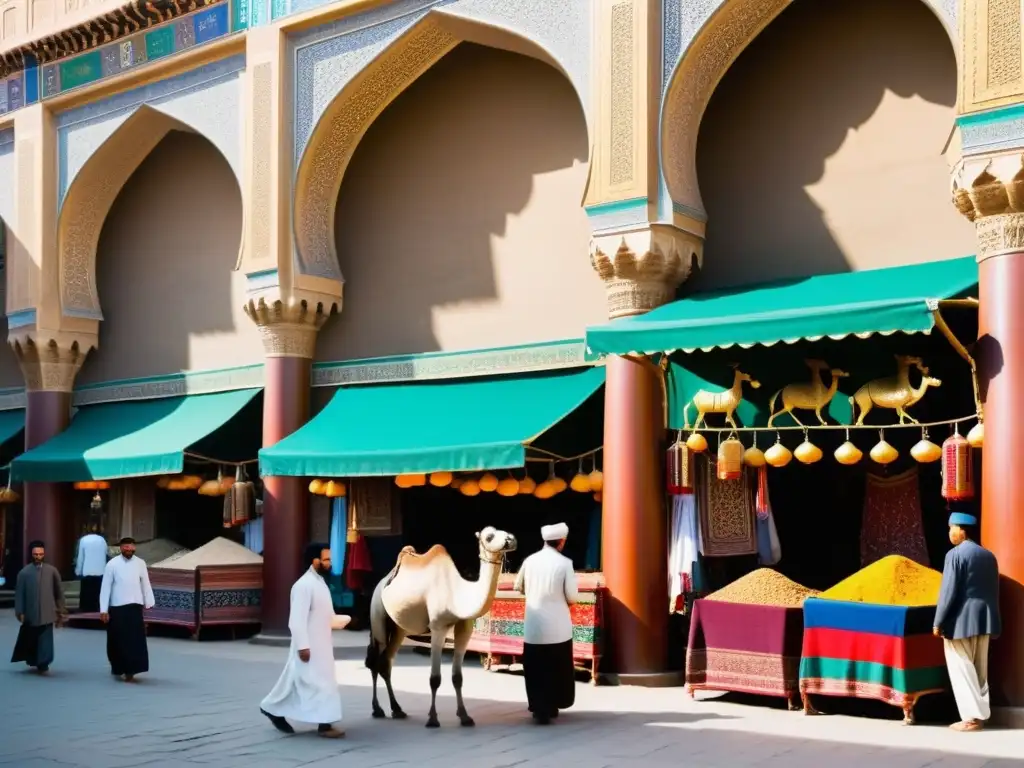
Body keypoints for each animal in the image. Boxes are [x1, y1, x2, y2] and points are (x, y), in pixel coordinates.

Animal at [364, 528, 516, 729]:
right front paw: (433, 719)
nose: (510, 540)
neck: (457, 595)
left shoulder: (464, 630)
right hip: (377, 614)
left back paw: (397, 709)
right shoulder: (437, 628)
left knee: (386, 662)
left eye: (504, 532)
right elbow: (434, 678)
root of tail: (382, 582)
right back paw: (377, 709)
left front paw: (465, 716)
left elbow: (457, 677)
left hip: (398, 629)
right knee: (375, 659)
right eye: (489, 536)